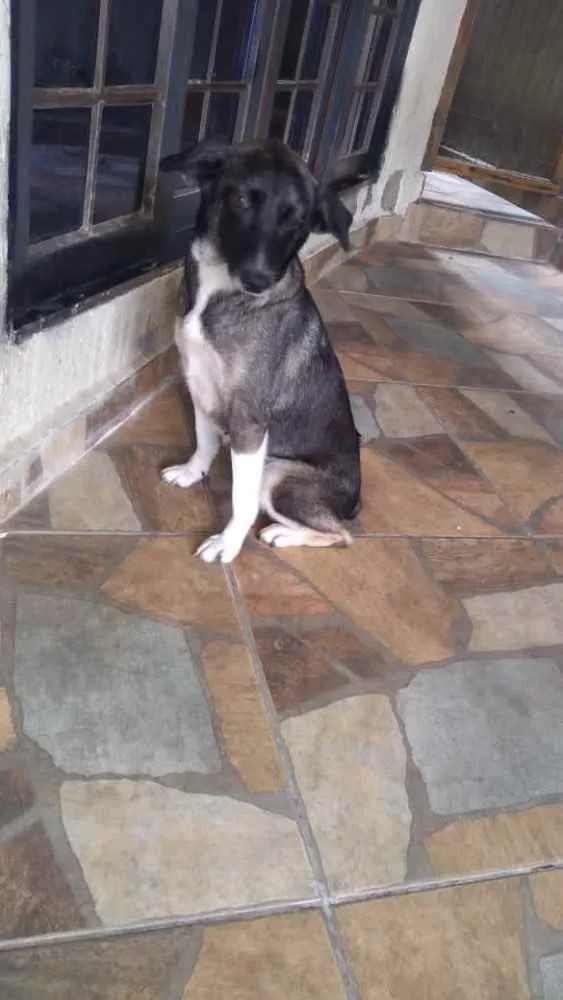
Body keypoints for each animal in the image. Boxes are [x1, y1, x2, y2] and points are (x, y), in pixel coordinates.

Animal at [159, 138, 361, 563]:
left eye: (297, 222)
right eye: (240, 201)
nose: (258, 280)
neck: (221, 292)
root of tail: (355, 502)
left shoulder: (249, 420)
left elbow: (242, 498)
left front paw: (227, 543)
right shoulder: (199, 384)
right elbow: (203, 440)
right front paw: (192, 472)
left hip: (277, 474)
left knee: (341, 535)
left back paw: (282, 534)